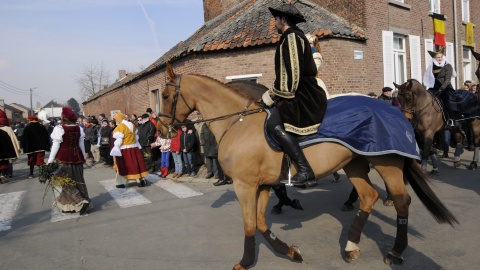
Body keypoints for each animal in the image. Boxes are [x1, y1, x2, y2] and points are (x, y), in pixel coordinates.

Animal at [157, 62, 458, 268]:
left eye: (165, 96)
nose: (161, 129)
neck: (240, 123)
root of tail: (395, 112)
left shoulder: (245, 186)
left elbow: (250, 224)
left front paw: (244, 261)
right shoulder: (262, 185)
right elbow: (261, 223)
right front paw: (290, 251)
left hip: (386, 164)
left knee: (401, 201)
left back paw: (395, 251)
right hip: (355, 164)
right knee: (368, 196)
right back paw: (351, 246)